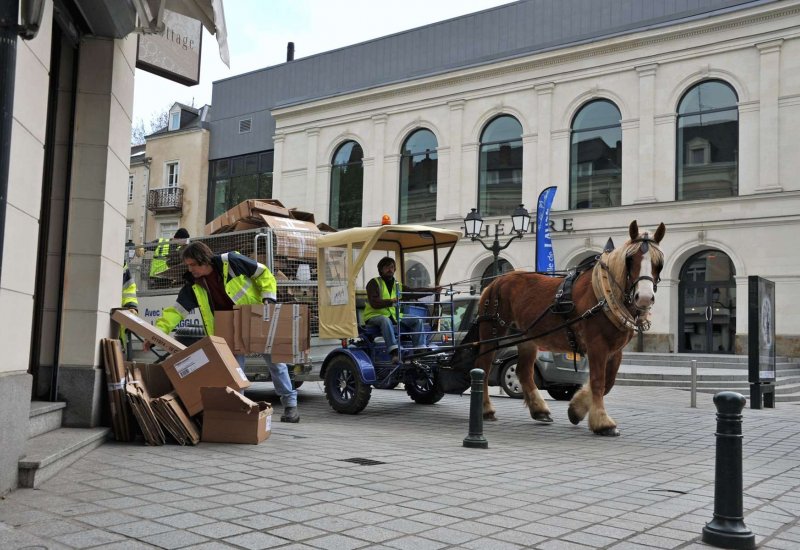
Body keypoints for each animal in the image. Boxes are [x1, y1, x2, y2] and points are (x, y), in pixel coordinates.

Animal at [476, 220, 664, 436]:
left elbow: (607, 383)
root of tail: (494, 282)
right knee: (483, 367)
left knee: (523, 372)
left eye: (659, 263)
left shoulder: (616, 350)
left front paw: (576, 409)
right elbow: (598, 381)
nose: (644, 297)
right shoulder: (597, 345)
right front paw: (603, 422)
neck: (605, 294)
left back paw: (539, 410)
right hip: (492, 333)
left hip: (526, 338)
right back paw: (486, 409)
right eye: (630, 259)